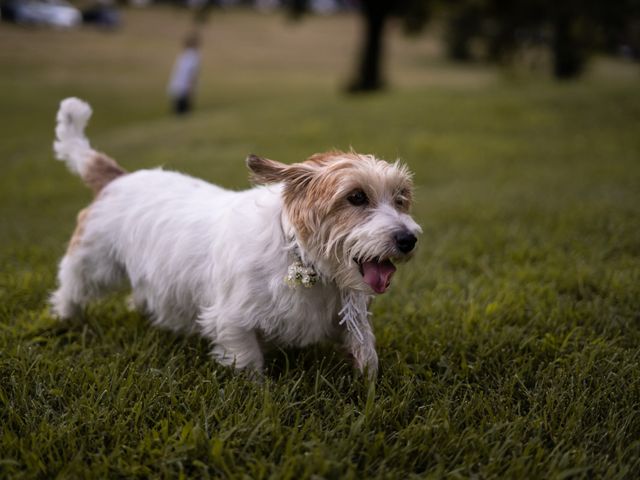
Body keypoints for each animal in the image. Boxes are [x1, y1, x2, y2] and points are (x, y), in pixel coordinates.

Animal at [50, 95, 420, 376]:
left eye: (401, 198)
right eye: (356, 197)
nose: (408, 239)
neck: (299, 259)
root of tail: (118, 178)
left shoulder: (350, 316)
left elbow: (365, 350)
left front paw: (369, 385)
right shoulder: (234, 319)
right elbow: (248, 360)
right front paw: (256, 392)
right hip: (92, 262)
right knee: (71, 285)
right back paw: (64, 317)